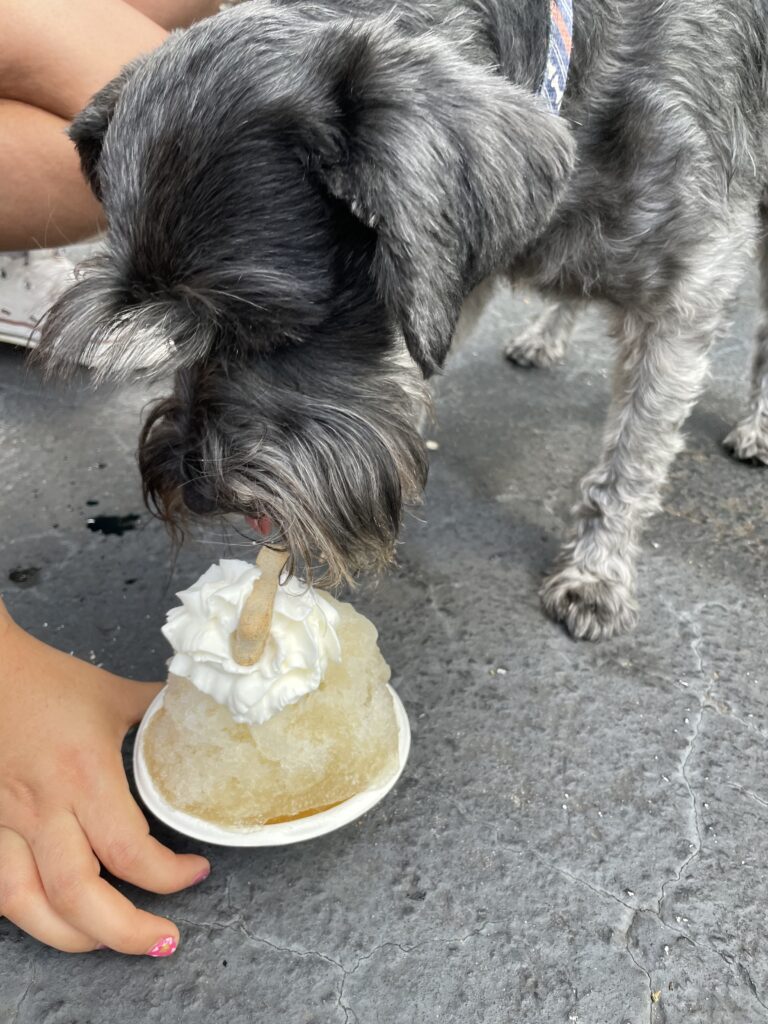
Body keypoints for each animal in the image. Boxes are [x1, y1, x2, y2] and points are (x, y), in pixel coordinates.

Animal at [34, 0, 768, 638]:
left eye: (276, 328)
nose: (195, 486)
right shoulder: (458, 272)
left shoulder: (685, 296)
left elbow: (632, 459)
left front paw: (597, 573)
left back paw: (756, 426)